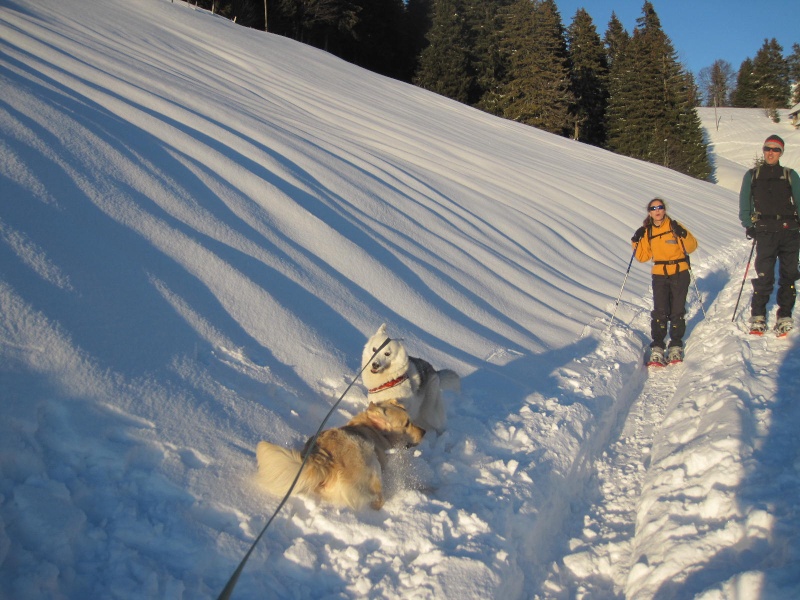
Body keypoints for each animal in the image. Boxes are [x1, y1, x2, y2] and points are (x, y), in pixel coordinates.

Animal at [256, 400, 424, 508]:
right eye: (407, 424)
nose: (424, 431)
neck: (374, 430)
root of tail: (323, 461)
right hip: (370, 460)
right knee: (377, 499)